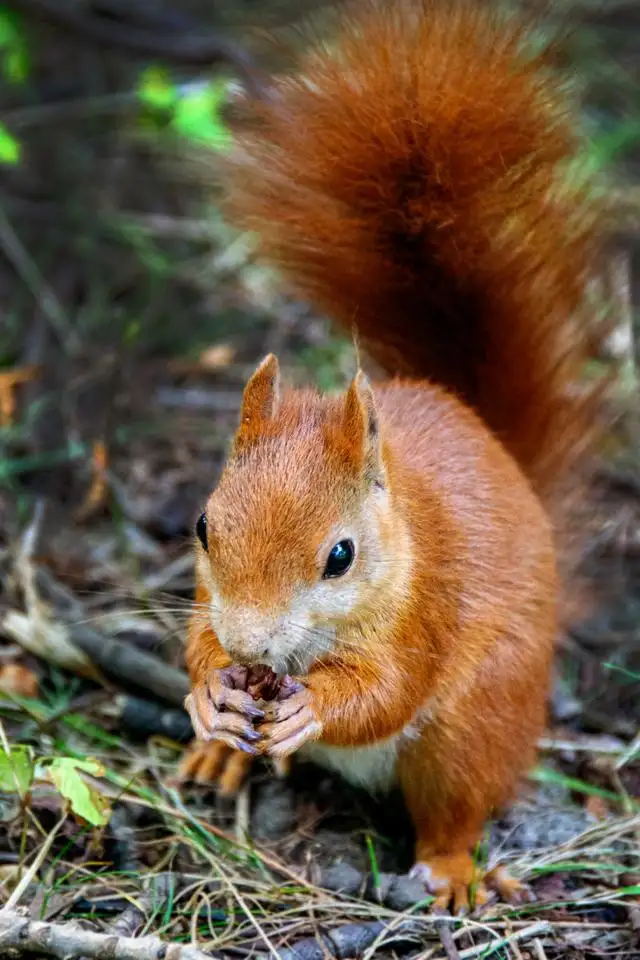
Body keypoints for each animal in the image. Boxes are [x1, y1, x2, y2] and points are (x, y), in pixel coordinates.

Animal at [180, 0, 608, 916]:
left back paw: (449, 875)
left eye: (340, 556)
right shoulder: (206, 598)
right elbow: (197, 640)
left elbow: (386, 691)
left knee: (457, 801)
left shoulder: (429, 607)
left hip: (475, 724)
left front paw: (313, 707)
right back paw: (219, 752)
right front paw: (211, 692)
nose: (249, 644)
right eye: (203, 526)